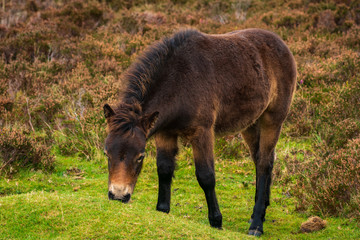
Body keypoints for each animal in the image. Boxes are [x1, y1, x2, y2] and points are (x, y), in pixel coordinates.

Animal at [102, 28, 296, 236]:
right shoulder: (165, 133)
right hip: (250, 124)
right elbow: (164, 169)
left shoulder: (202, 133)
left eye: (140, 156)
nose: (118, 195)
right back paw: (258, 214)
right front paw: (162, 210)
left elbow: (206, 176)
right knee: (261, 159)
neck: (179, 82)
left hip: (272, 119)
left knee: (264, 163)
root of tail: (281, 43)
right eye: (107, 154)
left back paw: (256, 224)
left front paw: (216, 221)